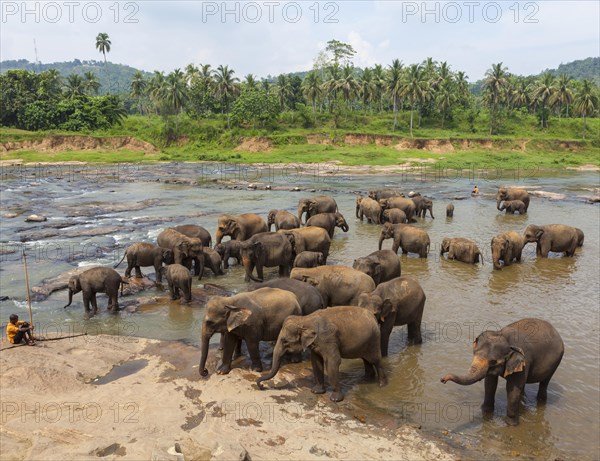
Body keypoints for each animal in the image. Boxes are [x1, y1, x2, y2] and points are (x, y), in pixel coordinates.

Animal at [255, 308, 386, 400]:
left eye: (285, 341)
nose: (262, 386)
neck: (305, 319)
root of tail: (373, 317)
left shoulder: (329, 339)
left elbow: (333, 362)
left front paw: (336, 399)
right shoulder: (316, 343)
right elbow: (316, 361)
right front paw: (316, 391)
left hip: (374, 339)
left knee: (376, 360)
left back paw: (381, 385)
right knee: (366, 359)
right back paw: (367, 379)